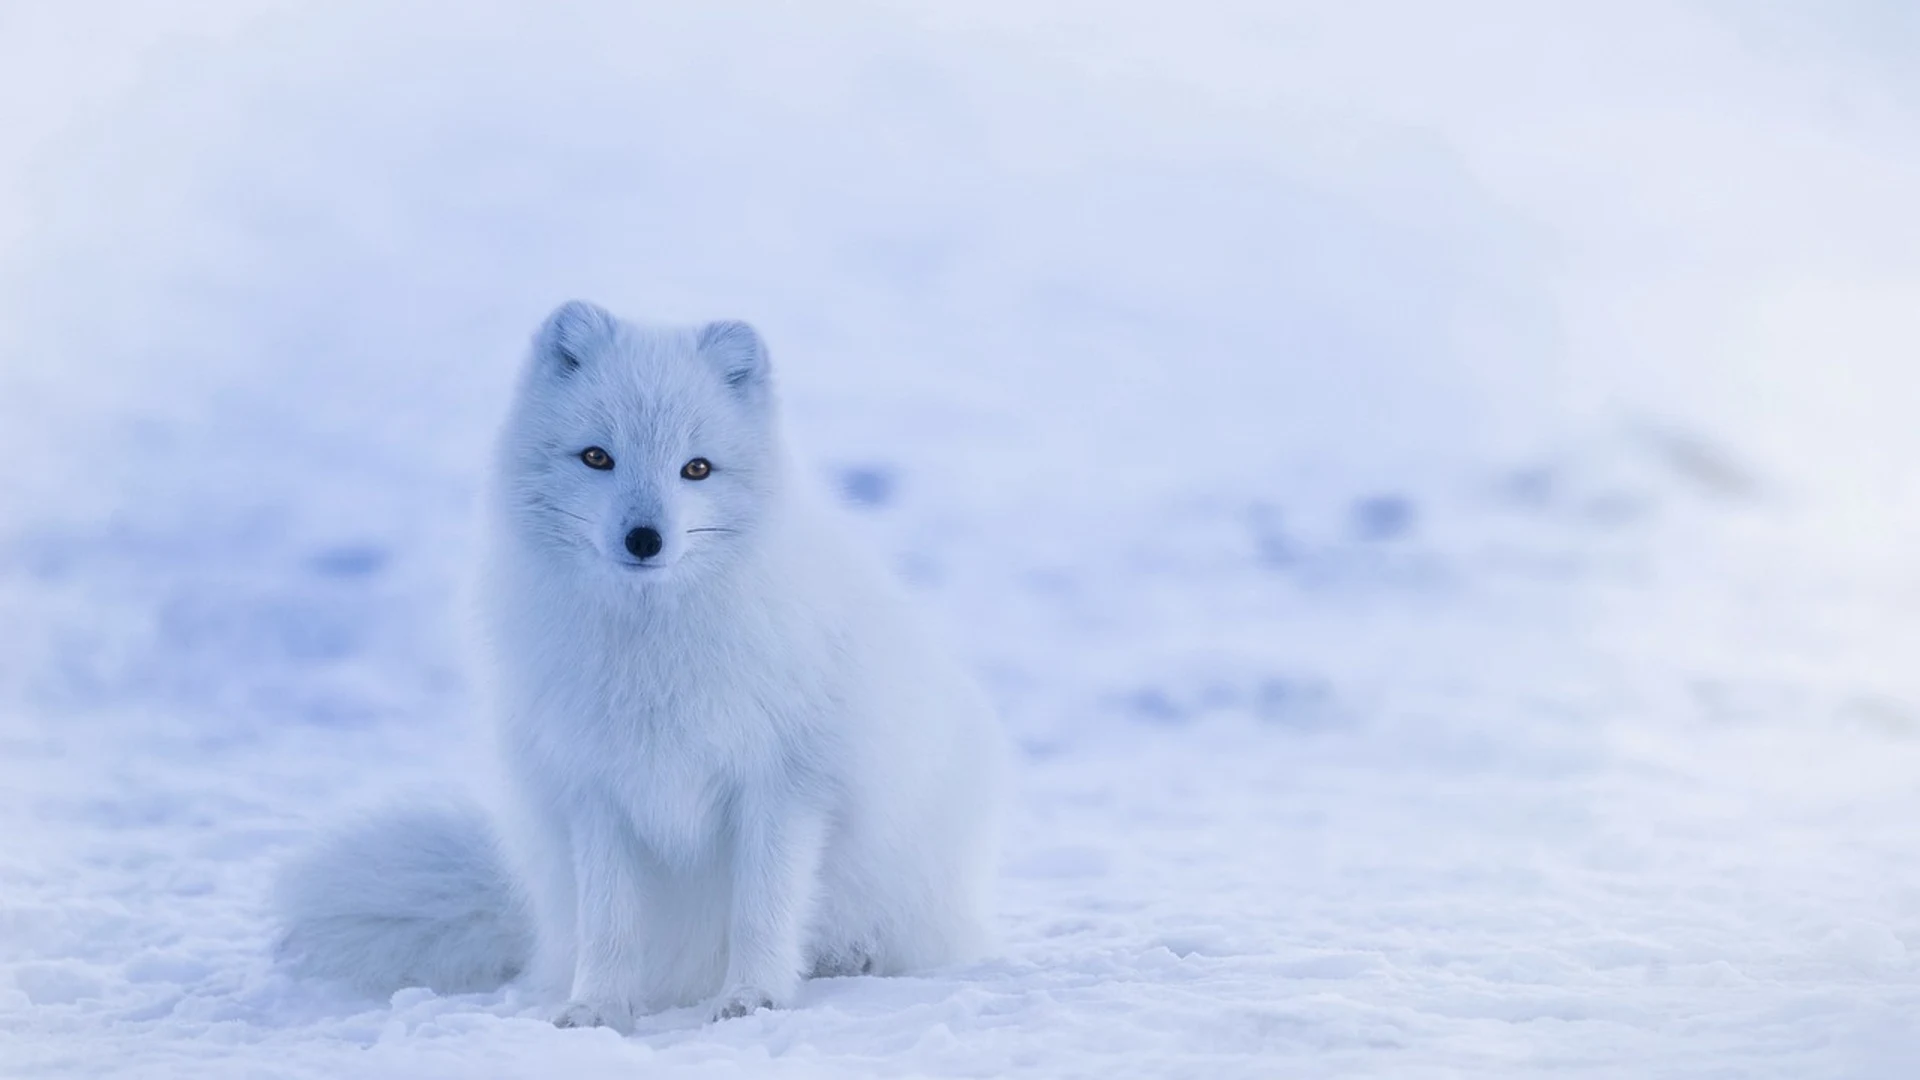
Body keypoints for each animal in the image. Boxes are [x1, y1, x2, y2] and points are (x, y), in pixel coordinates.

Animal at [274, 301, 1007, 1030]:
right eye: (597, 456)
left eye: (697, 469)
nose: (645, 539)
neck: (651, 650)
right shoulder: (596, 790)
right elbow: (610, 924)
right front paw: (596, 1008)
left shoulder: (785, 784)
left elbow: (763, 909)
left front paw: (754, 997)